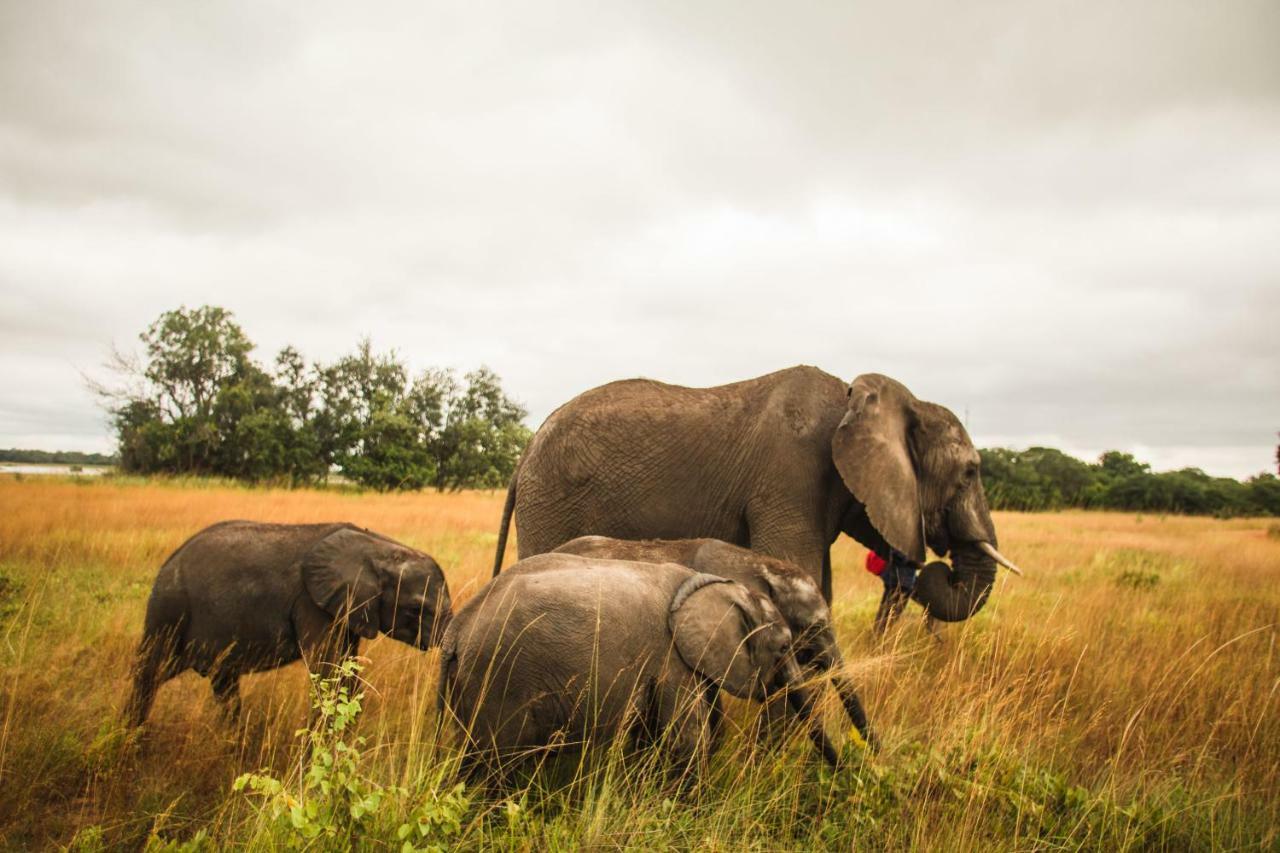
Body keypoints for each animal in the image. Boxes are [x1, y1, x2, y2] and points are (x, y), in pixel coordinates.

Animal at [124, 517, 453, 722]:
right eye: (417, 608)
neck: (377, 547)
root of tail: (168, 563)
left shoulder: (345, 609)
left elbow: (346, 675)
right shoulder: (311, 603)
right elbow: (328, 676)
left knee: (223, 682)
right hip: (168, 612)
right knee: (149, 674)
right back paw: (130, 739)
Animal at [440, 550, 839, 778]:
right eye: (785, 646)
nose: (842, 774)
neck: (722, 587)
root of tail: (455, 631)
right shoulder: (671, 659)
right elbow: (687, 742)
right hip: (499, 679)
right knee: (494, 765)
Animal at [488, 366, 1018, 617]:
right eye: (970, 472)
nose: (932, 571)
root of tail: (526, 450)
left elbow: (818, 587)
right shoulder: (792, 475)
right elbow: (796, 571)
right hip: (553, 499)